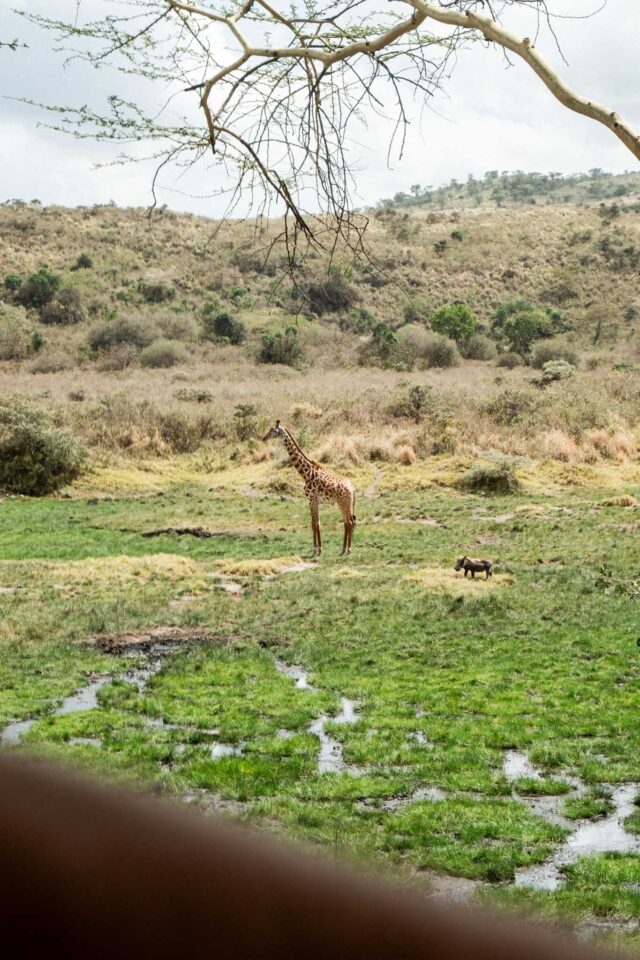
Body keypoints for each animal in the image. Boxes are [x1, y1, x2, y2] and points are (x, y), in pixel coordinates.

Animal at [262, 420, 356, 556]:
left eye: (273, 431)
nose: (263, 438)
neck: (306, 473)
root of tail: (352, 488)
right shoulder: (314, 501)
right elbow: (316, 523)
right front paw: (318, 549)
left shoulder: (311, 499)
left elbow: (314, 524)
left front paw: (316, 549)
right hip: (345, 503)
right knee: (348, 522)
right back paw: (344, 549)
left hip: (343, 503)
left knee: (349, 522)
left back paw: (348, 550)